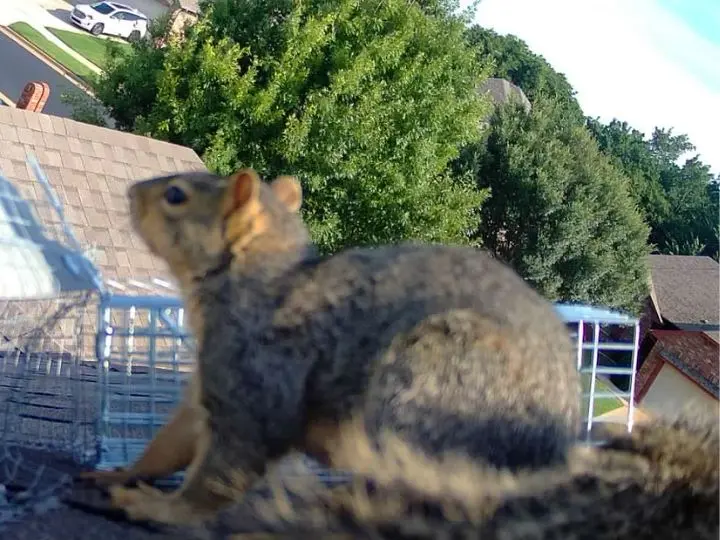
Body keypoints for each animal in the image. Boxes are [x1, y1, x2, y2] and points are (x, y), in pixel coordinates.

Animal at [98, 167, 581, 526]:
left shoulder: (256, 378)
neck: (254, 283)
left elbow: (223, 471)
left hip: (435, 383)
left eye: (175, 195)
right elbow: (171, 444)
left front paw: (157, 507)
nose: (130, 191)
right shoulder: (207, 384)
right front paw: (122, 473)